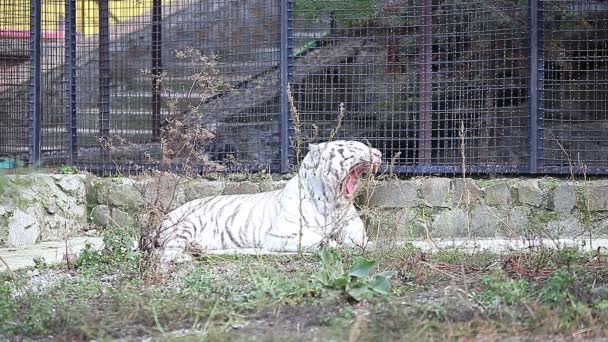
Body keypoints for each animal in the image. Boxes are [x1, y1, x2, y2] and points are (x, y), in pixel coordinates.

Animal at [157, 140, 384, 264]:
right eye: (354, 146)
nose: (380, 153)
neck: (332, 202)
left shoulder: (352, 225)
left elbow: (358, 238)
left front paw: (361, 244)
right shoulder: (280, 234)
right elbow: (317, 239)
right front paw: (335, 244)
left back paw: (198, 247)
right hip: (185, 224)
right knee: (165, 253)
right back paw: (186, 256)